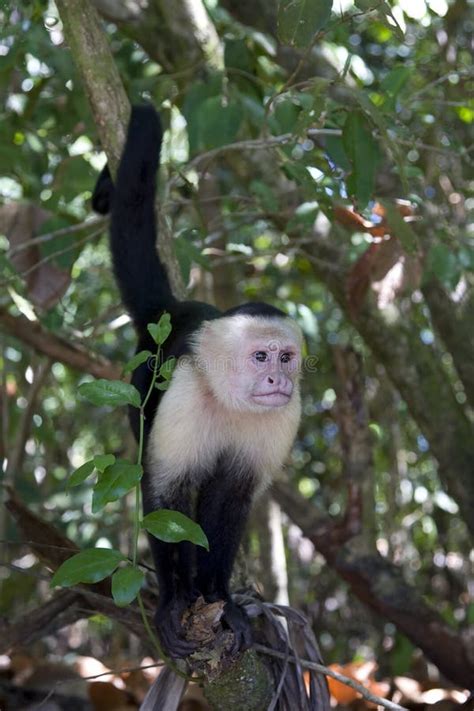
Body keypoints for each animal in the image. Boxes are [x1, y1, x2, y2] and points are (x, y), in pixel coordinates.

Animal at [91, 105, 304, 660]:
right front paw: (174, 603)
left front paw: (220, 600)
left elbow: (229, 503)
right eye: (260, 356)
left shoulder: (285, 416)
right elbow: (165, 494)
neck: (232, 402)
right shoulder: (185, 392)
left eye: (286, 357)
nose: (277, 378)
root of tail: (173, 309)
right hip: (141, 381)